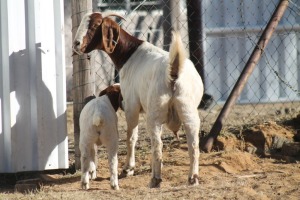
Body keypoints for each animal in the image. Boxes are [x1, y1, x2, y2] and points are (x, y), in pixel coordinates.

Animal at [73, 12, 204, 188]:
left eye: (94, 25)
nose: (76, 44)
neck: (129, 54)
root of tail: (174, 72)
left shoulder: (131, 105)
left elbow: (131, 137)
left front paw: (128, 168)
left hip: (155, 113)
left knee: (157, 144)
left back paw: (155, 179)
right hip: (188, 110)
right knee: (193, 144)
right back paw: (193, 178)